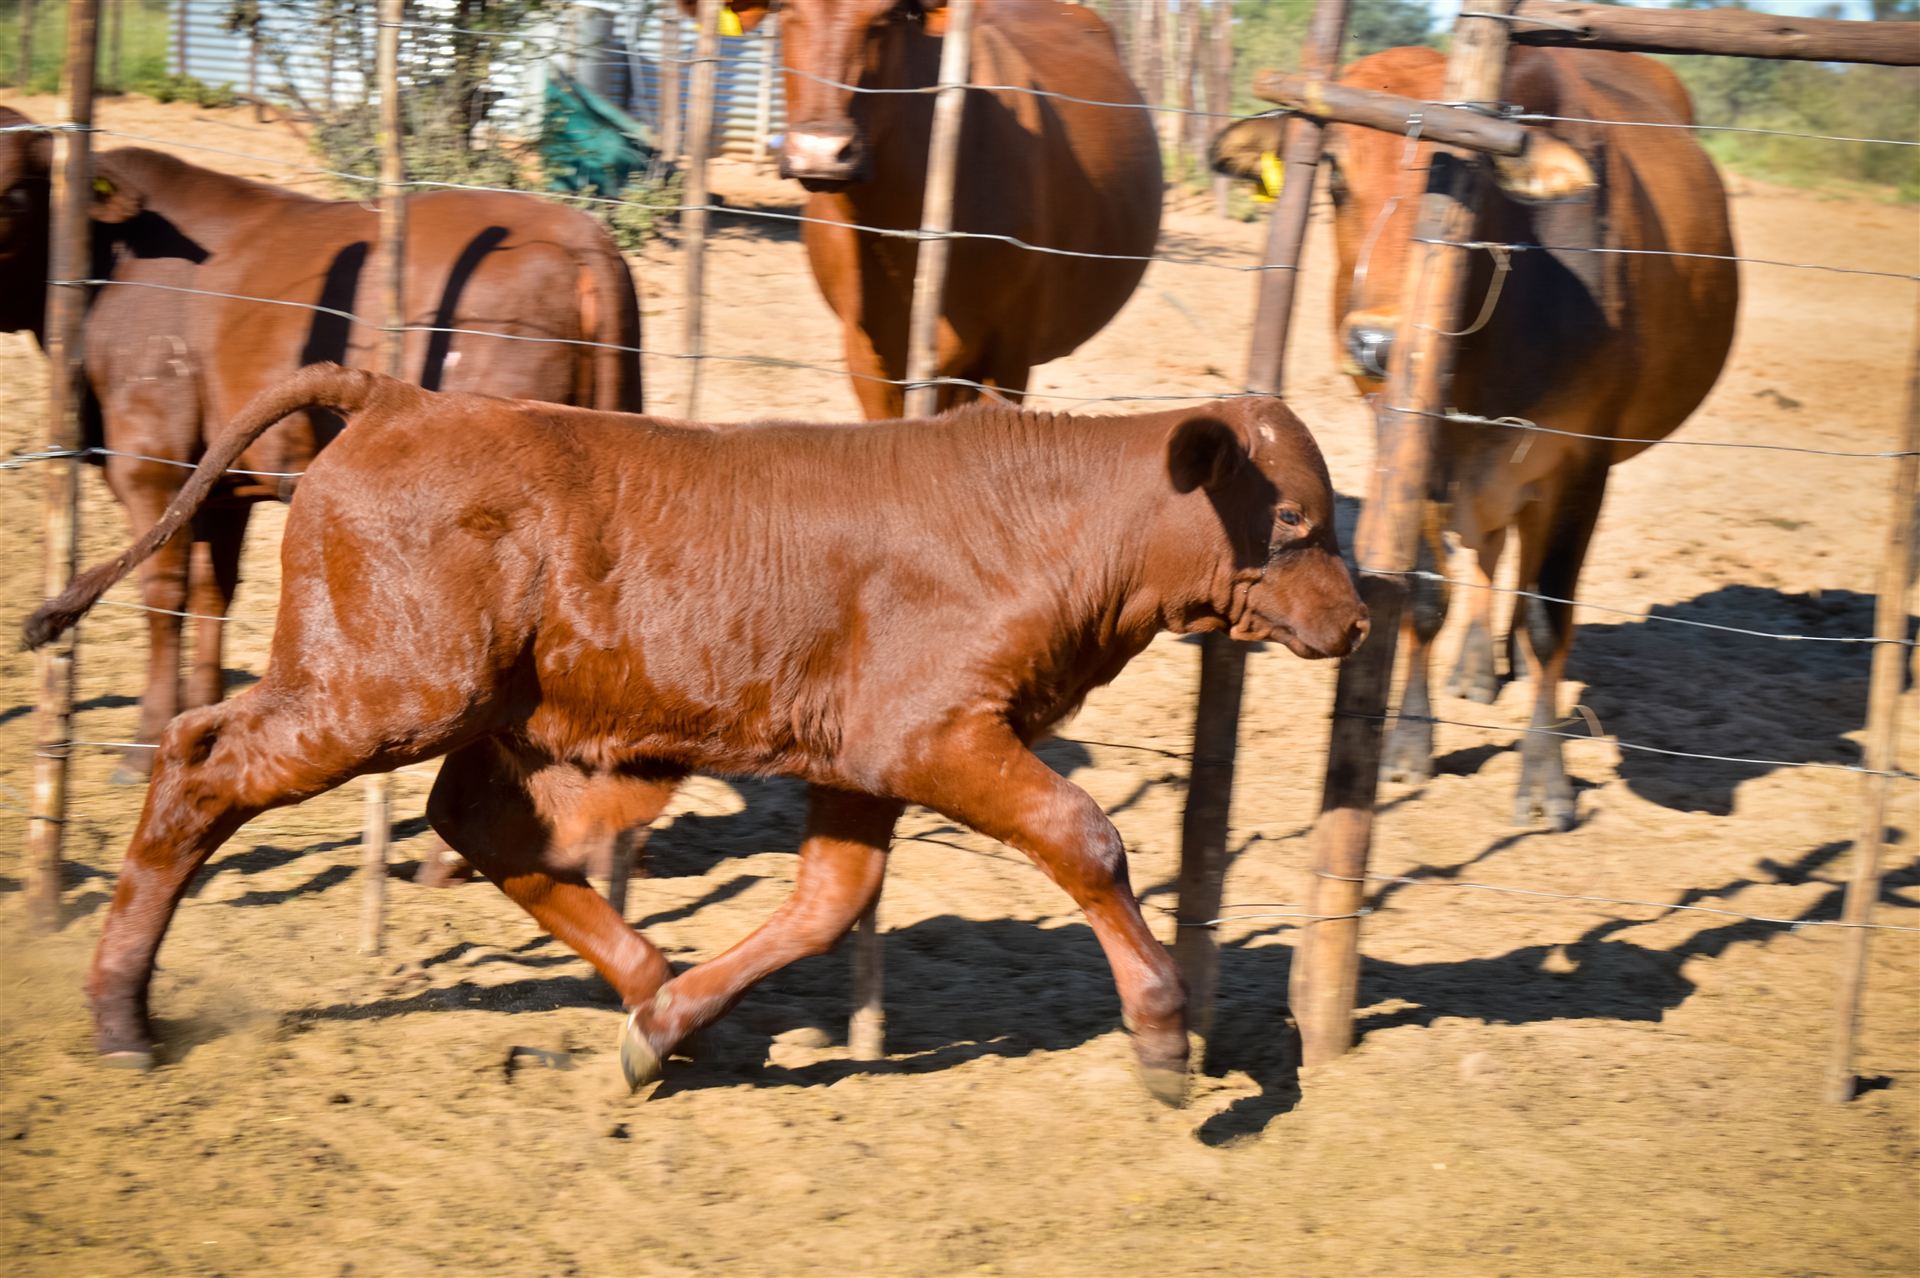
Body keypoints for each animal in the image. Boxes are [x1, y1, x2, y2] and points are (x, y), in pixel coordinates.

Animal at [0, 109, 644, 779]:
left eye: (15, 193)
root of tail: (577, 235)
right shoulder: (221, 483)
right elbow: (211, 591)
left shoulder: (151, 459)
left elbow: (163, 593)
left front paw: (146, 740)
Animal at [26, 366, 1370, 1105]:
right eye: (1293, 522)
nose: (1357, 619)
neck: (1050, 522)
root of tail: (404, 397)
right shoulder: (937, 735)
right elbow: (1086, 838)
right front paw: (1164, 1037)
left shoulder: (861, 761)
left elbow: (828, 902)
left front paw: (664, 1032)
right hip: (379, 693)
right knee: (200, 765)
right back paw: (117, 1011)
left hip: (491, 715)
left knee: (478, 824)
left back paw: (653, 998)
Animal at [1211, 47, 1738, 830]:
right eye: (1333, 170)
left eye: (1467, 183)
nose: (1377, 346)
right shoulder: (1408, 446)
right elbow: (1427, 598)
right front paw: (1407, 740)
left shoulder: (1584, 465)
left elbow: (1551, 617)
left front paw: (1545, 778)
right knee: (1490, 557)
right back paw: (1475, 667)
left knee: (1522, 579)